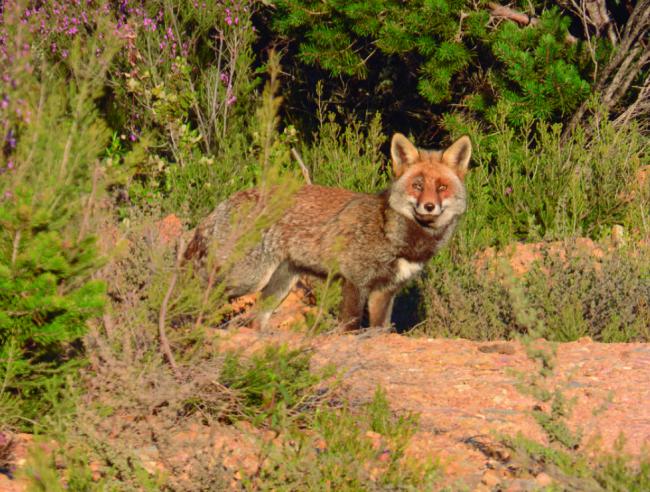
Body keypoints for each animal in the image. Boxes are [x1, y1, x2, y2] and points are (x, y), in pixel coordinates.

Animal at [185, 133, 468, 328]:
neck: (393, 235)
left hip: (280, 284)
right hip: (247, 279)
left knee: (257, 320)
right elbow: (349, 328)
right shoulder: (355, 282)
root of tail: (224, 202)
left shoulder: (385, 292)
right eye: (417, 185)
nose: (429, 206)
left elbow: (380, 331)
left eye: (442, 187)